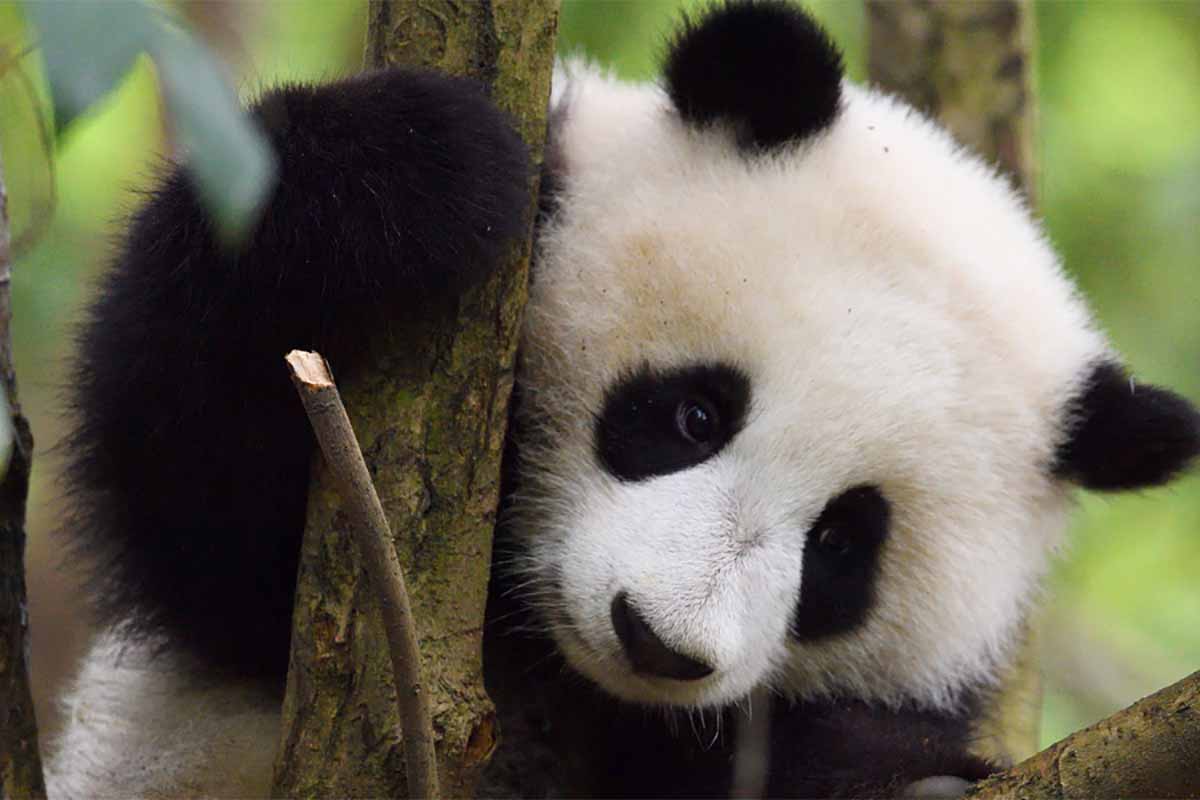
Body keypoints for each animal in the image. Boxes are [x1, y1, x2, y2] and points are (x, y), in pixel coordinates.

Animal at [45, 2, 1200, 798]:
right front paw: (412, 169)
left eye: (842, 544)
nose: (656, 641)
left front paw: (893, 773)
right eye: (694, 414)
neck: (548, 657)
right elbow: (197, 488)